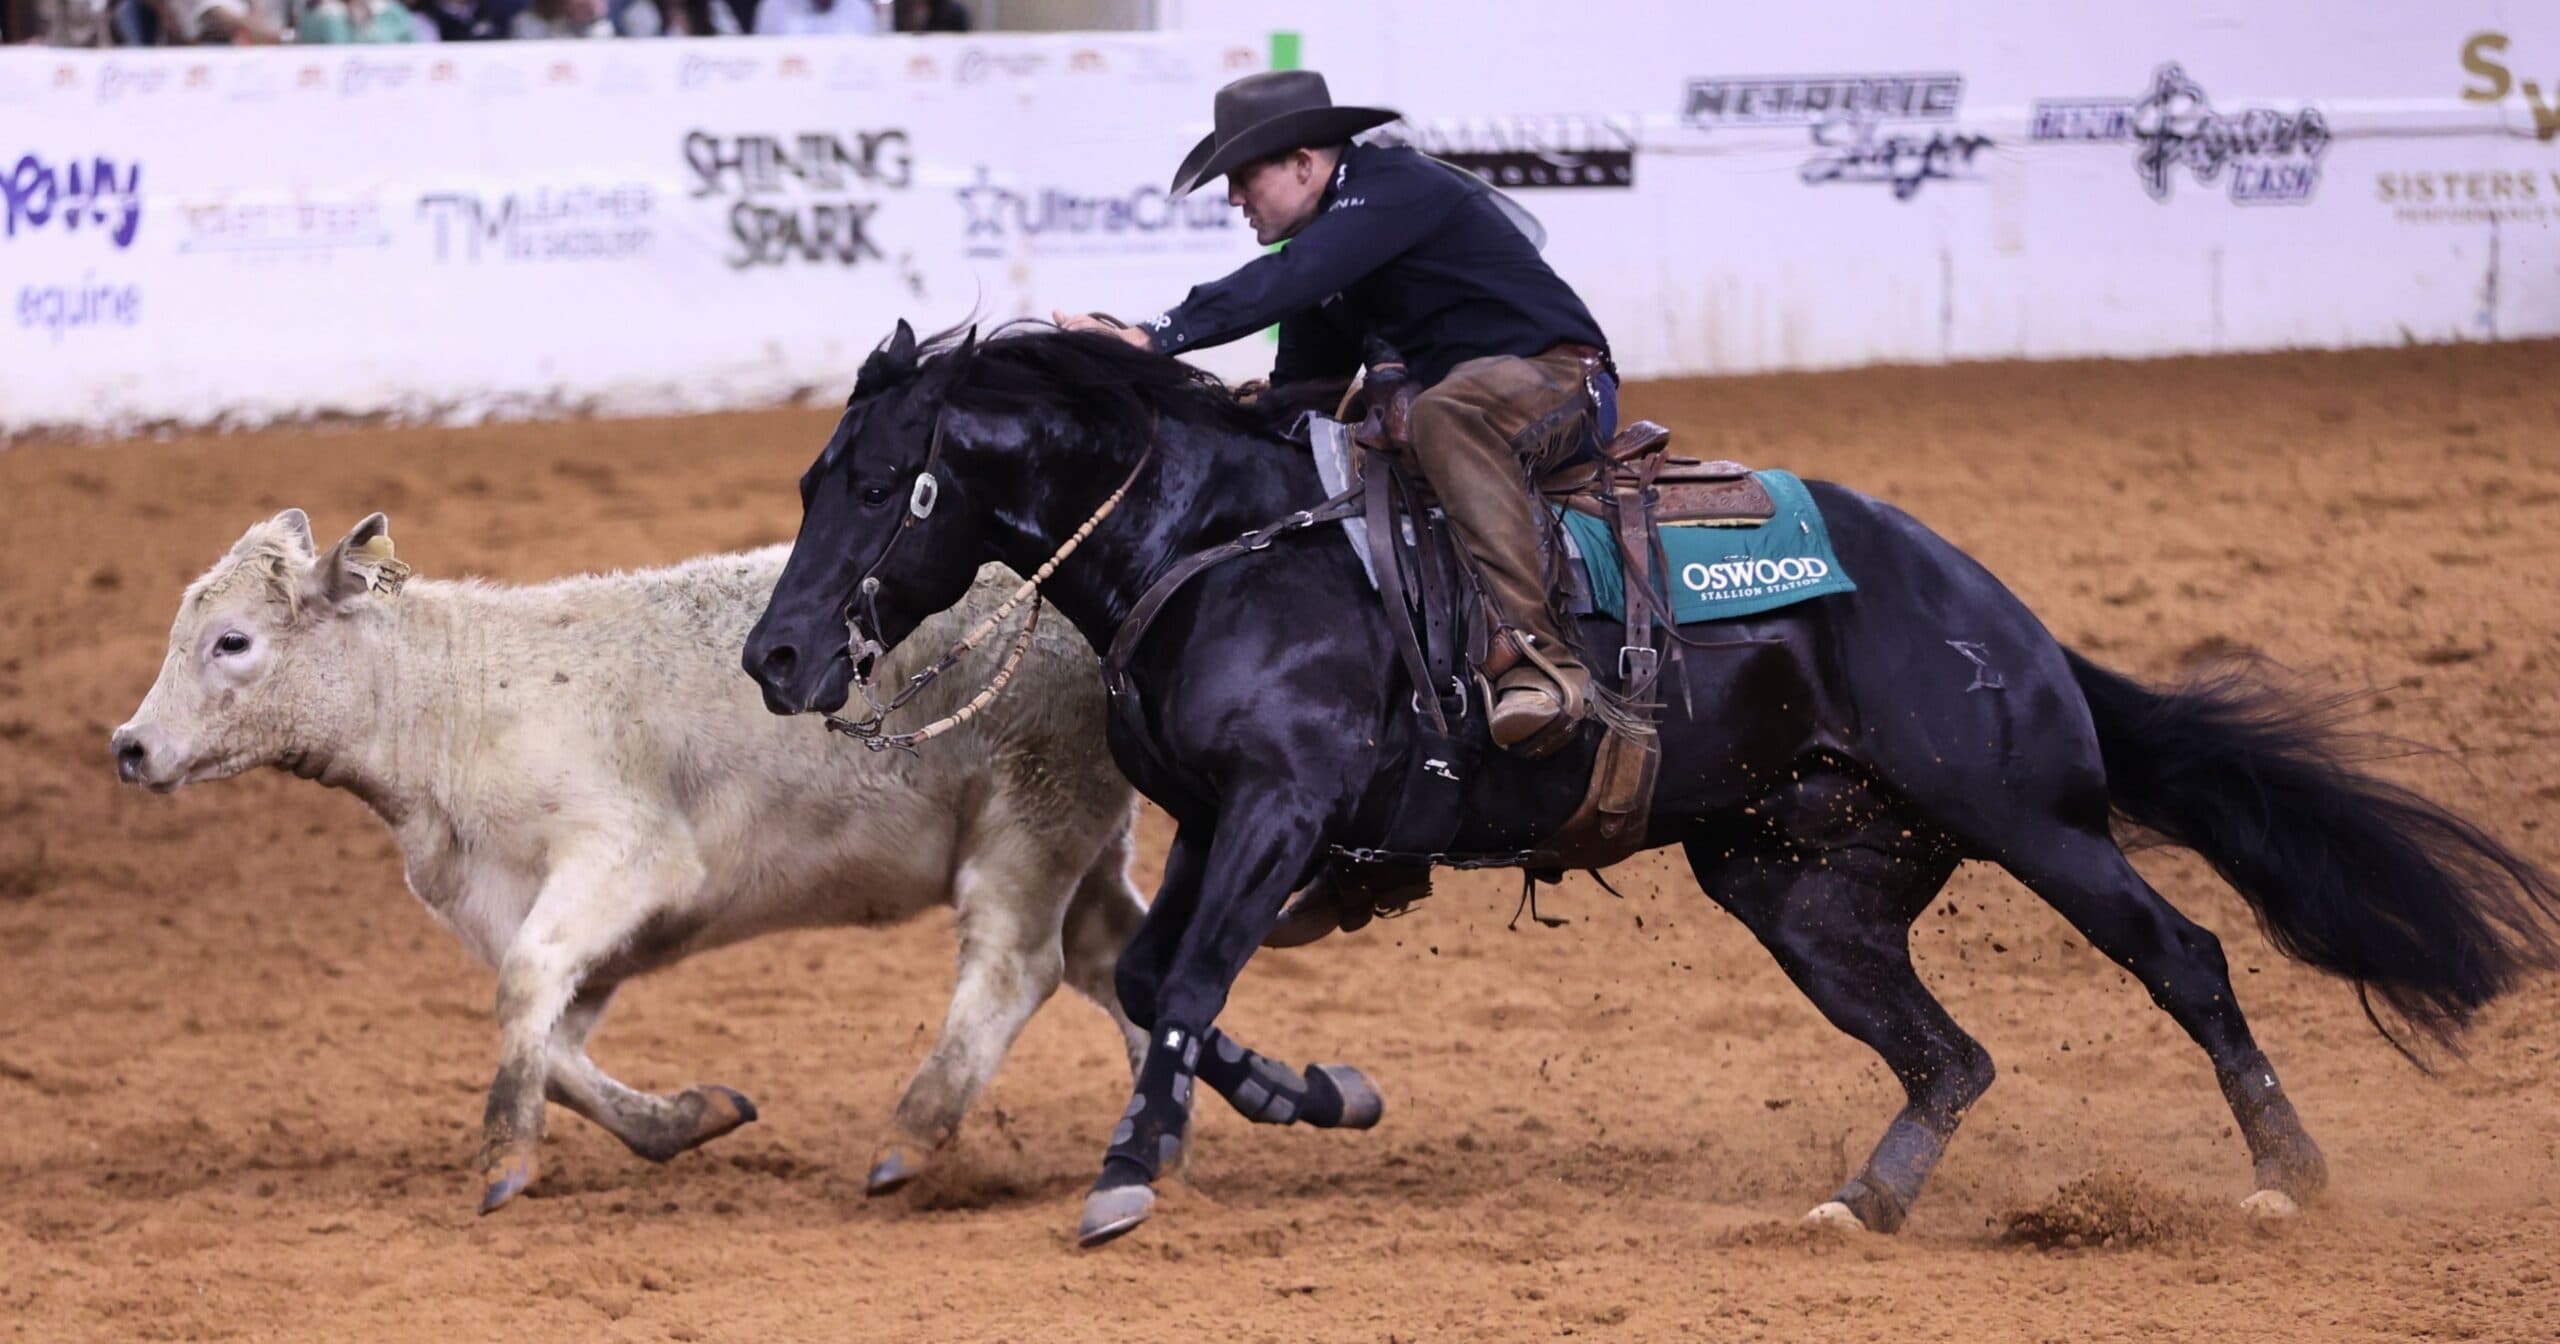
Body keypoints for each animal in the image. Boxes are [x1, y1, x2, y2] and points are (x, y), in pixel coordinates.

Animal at [741, 321, 2560, 1247]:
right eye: (811, 475)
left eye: (882, 481)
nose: (776, 655)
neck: (1233, 537)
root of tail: (2000, 610)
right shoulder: (1217, 814)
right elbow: (1151, 982)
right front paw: (1317, 1092)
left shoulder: (1278, 801)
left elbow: (1180, 983)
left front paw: (1132, 1170)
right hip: (1795, 887)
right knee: (1950, 1052)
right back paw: (1865, 1199)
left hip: (2031, 814)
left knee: (2184, 957)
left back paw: (2286, 1171)